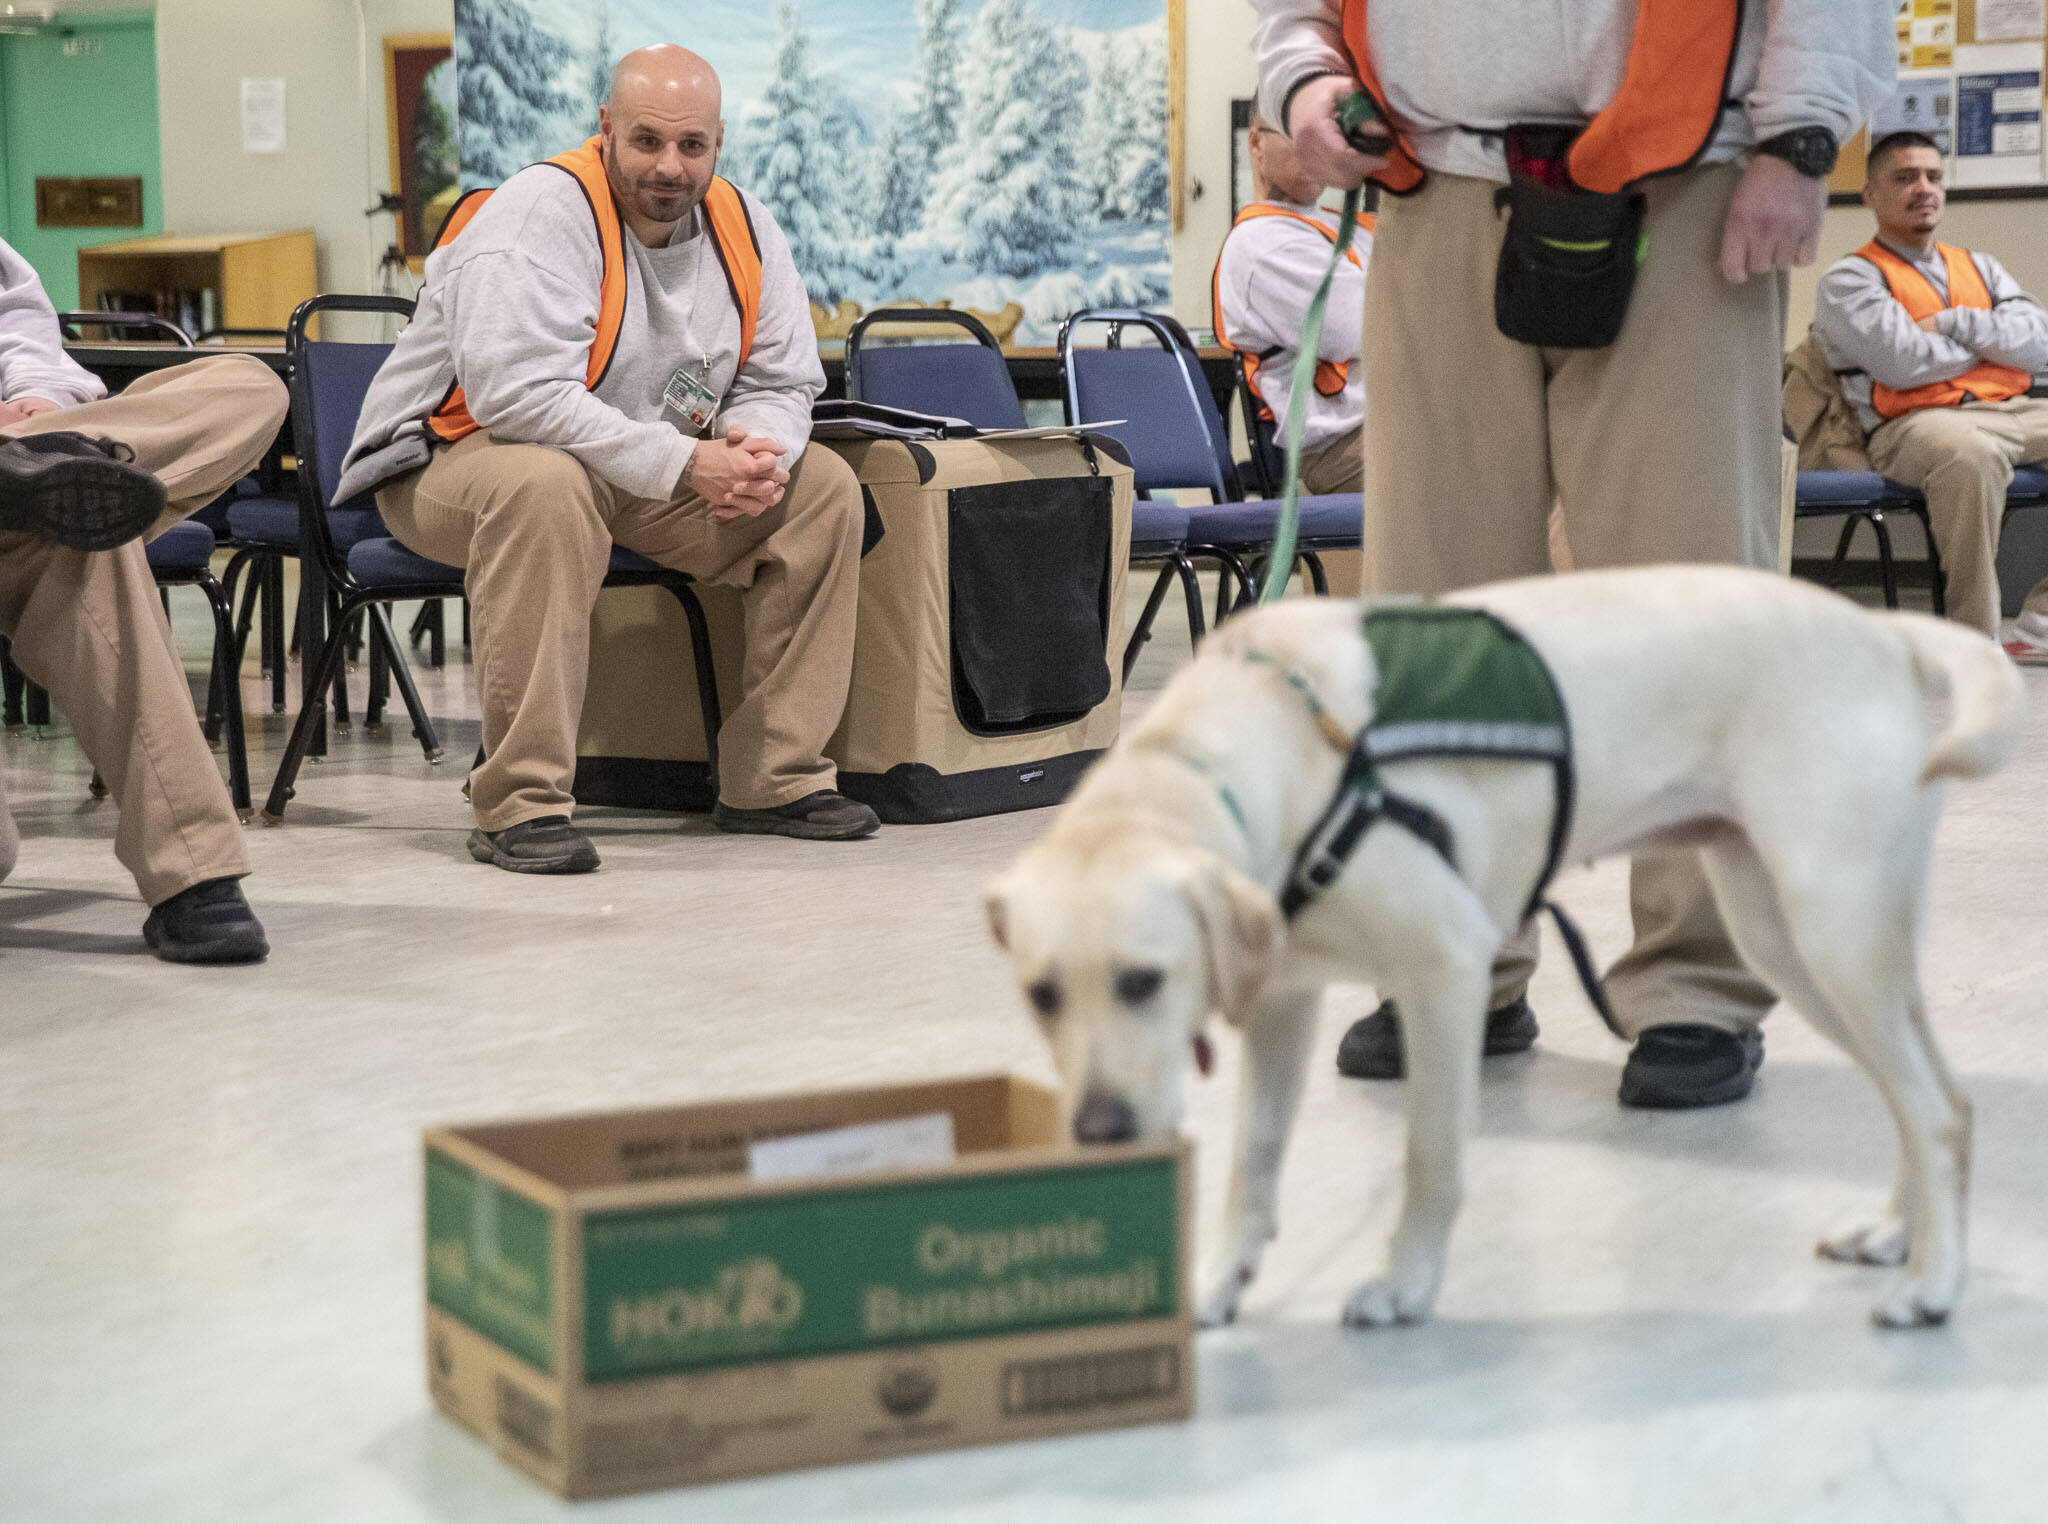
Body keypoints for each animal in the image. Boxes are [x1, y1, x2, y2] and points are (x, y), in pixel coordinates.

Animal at [983, 561, 2023, 1335]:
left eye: (1144, 981)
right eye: (1040, 995)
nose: (1099, 1131)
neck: (1268, 756)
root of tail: (1885, 632)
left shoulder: (1445, 970)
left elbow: (1430, 1155)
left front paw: (1404, 1285)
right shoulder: (1280, 1003)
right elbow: (1255, 1161)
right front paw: (1215, 1286)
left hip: (1834, 930)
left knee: (1939, 1110)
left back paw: (1934, 1286)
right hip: (1794, 946)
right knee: (1927, 1097)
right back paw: (1899, 1237)